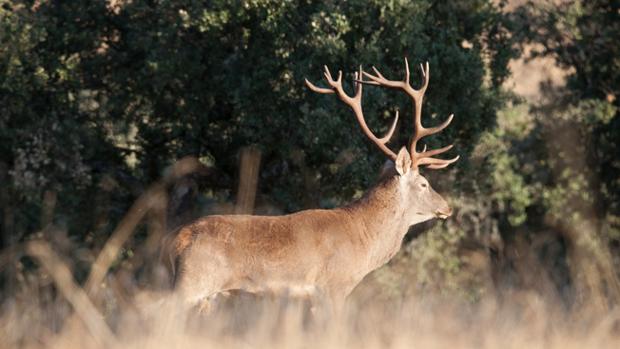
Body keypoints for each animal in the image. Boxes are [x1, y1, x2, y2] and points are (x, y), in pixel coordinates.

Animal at [167, 58, 458, 314]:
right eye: (424, 183)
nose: (447, 208)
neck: (363, 238)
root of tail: (174, 241)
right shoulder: (335, 285)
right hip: (192, 283)